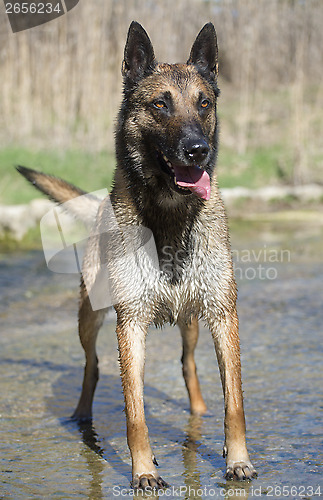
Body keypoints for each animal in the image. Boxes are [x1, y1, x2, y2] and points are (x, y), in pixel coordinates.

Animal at [17, 22, 256, 488]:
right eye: (160, 104)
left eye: (204, 103)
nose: (197, 150)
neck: (170, 214)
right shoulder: (130, 325)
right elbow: (135, 413)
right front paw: (143, 470)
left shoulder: (222, 314)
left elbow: (233, 402)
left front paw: (238, 459)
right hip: (90, 316)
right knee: (91, 366)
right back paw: (82, 415)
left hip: (191, 322)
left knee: (188, 363)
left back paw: (197, 411)